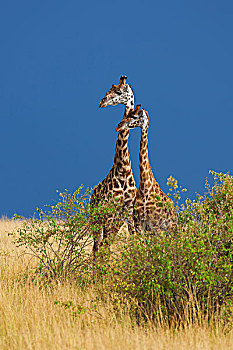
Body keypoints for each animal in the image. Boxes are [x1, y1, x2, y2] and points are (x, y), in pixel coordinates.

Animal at [91, 75, 137, 253]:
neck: (123, 168)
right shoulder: (110, 211)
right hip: (96, 220)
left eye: (118, 92)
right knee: (97, 247)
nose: (101, 102)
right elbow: (103, 248)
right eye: (107, 90)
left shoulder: (128, 210)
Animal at [116, 105, 177, 234]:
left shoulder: (156, 225)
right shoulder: (139, 224)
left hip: (171, 228)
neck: (145, 184)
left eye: (134, 116)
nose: (119, 126)